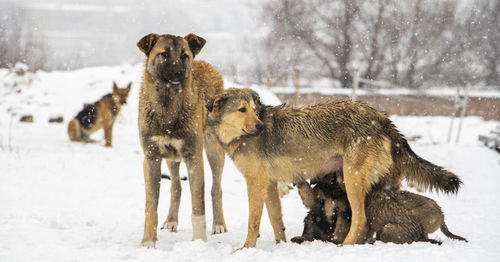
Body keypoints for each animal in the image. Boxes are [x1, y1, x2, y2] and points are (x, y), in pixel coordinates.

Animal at [135, 33, 225, 248]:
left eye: (185, 55)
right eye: (164, 54)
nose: (179, 73)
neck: (168, 105)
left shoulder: (194, 157)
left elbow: (198, 206)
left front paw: (199, 242)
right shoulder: (151, 157)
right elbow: (151, 206)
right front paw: (148, 242)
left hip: (214, 151)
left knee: (216, 188)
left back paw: (219, 225)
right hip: (171, 159)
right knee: (176, 186)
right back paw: (171, 221)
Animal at [206, 88, 460, 250]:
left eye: (253, 110)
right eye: (242, 110)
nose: (259, 127)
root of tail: (381, 117)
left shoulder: (255, 183)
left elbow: (254, 221)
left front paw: (245, 249)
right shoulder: (269, 184)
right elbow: (276, 220)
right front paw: (281, 247)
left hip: (353, 181)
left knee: (360, 219)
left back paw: (345, 247)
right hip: (384, 185)